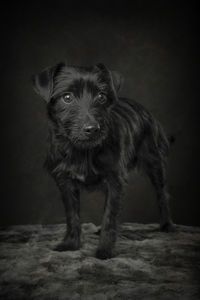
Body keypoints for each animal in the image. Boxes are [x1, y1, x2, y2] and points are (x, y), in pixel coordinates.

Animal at [31, 62, 175, 258]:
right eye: (67, 97)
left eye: (101, 96)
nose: (92, 128)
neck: (82, 151)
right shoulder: (65, 182)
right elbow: (72, 215)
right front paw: (71, 243)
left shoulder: (115, 180)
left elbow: (109, 216)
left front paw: (105, 250)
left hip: (155, 163)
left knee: (162, 194)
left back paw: (167, 225)